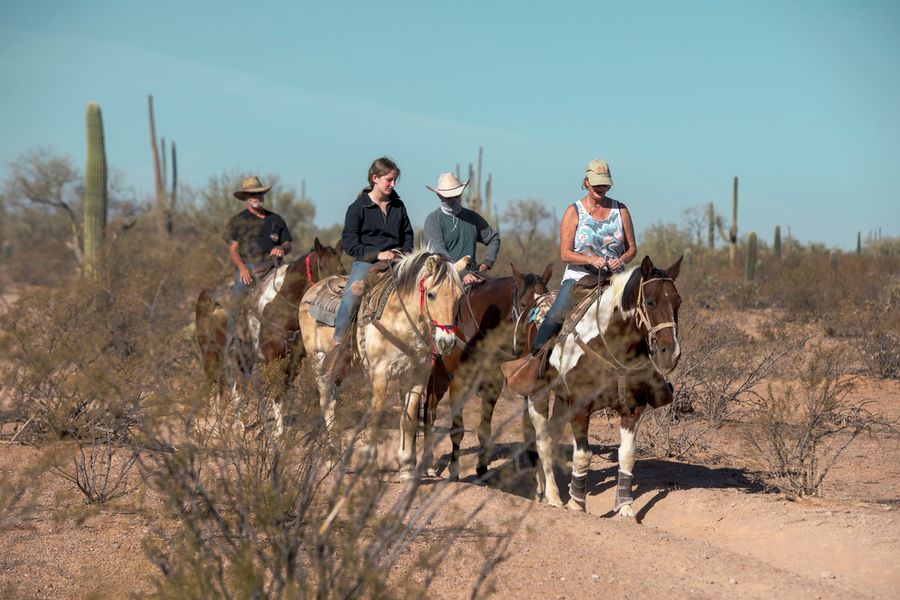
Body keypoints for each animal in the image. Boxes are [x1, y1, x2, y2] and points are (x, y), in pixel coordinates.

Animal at [195, 237, 346, 428]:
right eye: (324, 268)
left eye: (343, 270)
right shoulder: (273, 357)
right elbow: (276, 392)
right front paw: (276, 431)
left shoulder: (294, 360)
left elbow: (282, 392)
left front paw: (280, 432)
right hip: (211, 352)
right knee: (216, 384)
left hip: (243, 358)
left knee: (235, 388)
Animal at [300, 248, 472, 478]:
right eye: (431, 294)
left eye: (459, 297)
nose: (447, 342)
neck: (400, 322)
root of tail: (312, 290)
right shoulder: (380, 375)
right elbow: (375, 419)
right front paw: (369, 465)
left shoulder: (417, 376)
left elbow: (408, 420)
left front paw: (406, 466)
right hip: (317, 360)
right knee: (326, 401)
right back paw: (331, 456)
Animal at [424, 264, 556, 480]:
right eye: (523, 303)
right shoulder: (459, 382)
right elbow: (457, 429)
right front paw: (454, 469)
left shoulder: (492, 382)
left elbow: (484, 428)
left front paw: (481, 466)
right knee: (428, 413)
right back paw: (426, 464)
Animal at [520, 255, 684, 516]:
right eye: (650, 302)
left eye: (678, 302)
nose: (671, 353)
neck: (612, 345)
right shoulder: (579, 408)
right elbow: (582, 456)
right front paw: (576, 503)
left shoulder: (633, 409)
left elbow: (627, 455)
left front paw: (626, 508)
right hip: (538, 394)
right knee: (543, 442)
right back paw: (553, 497)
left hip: (561, 400)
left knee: (553, 438)